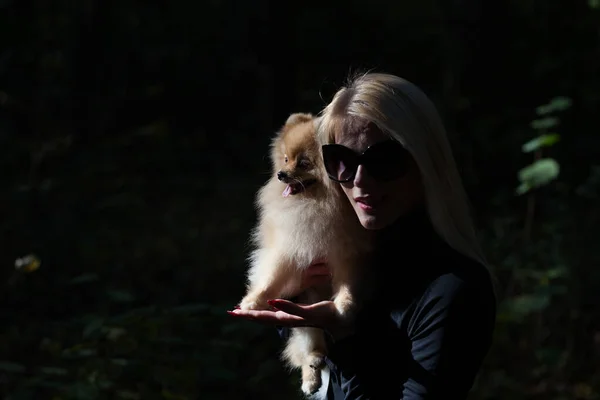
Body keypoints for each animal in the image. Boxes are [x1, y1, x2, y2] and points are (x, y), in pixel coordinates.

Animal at [238, 111, 370, 396]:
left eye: (304, 163)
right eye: (286, 159)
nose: (281, 174)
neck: (318, 204)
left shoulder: (348, 252)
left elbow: (348, 283)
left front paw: (345, 304)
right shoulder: (289, 249)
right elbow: (271, 279)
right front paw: (254, 301)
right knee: (308, 348)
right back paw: (312, 371)